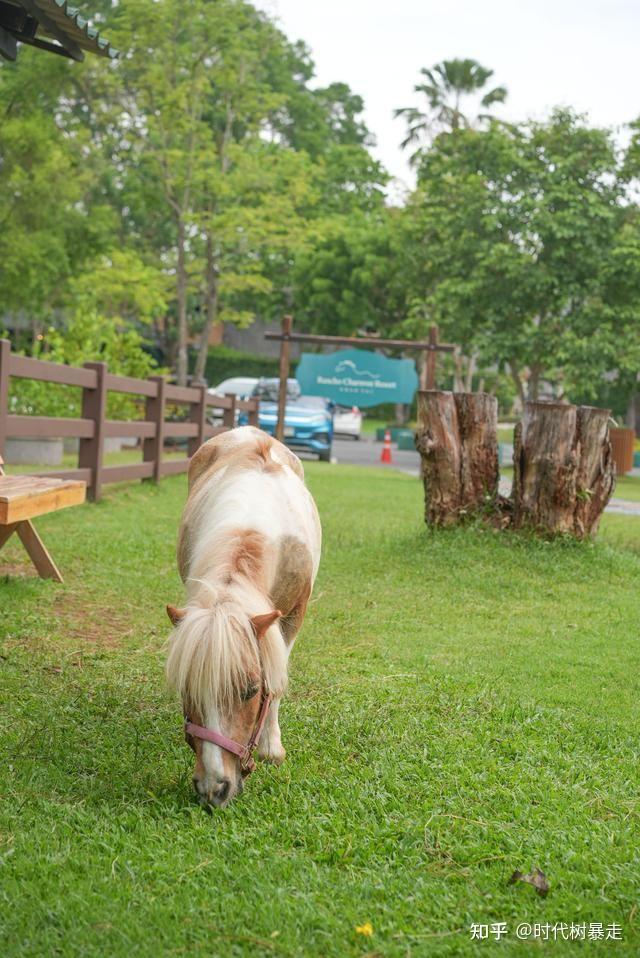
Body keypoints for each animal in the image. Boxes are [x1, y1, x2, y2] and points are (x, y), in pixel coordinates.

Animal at [165, 428, 320, 808]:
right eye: (187, 691)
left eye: (250, 691)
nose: (214, 788)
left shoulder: (293, 616)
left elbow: (277, 679)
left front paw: (271, 749)